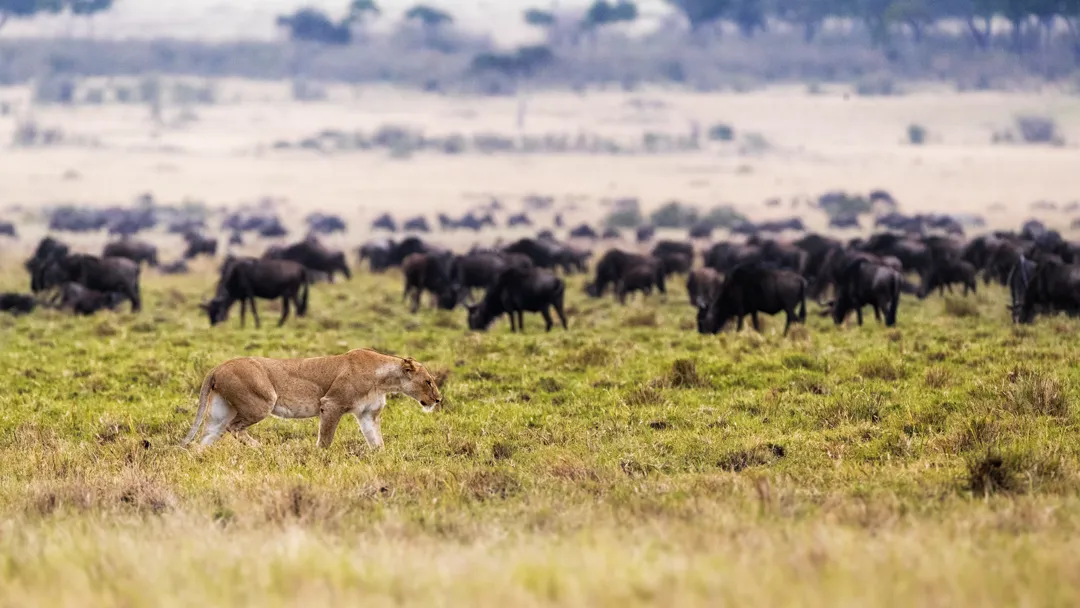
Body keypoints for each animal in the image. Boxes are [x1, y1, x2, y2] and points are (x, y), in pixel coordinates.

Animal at [181, 348, 442, 450]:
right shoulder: (332, 404)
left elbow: (376, 441)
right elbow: (325, 439)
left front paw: (381, 456)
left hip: (220, 410)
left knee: (208, 435)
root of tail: (217, 367)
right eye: (428, 381)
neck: (384, 380)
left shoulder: (368, 414)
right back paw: (261, 449)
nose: (439, 400)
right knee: (234, 428)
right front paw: (320, 458)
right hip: (261, 401)